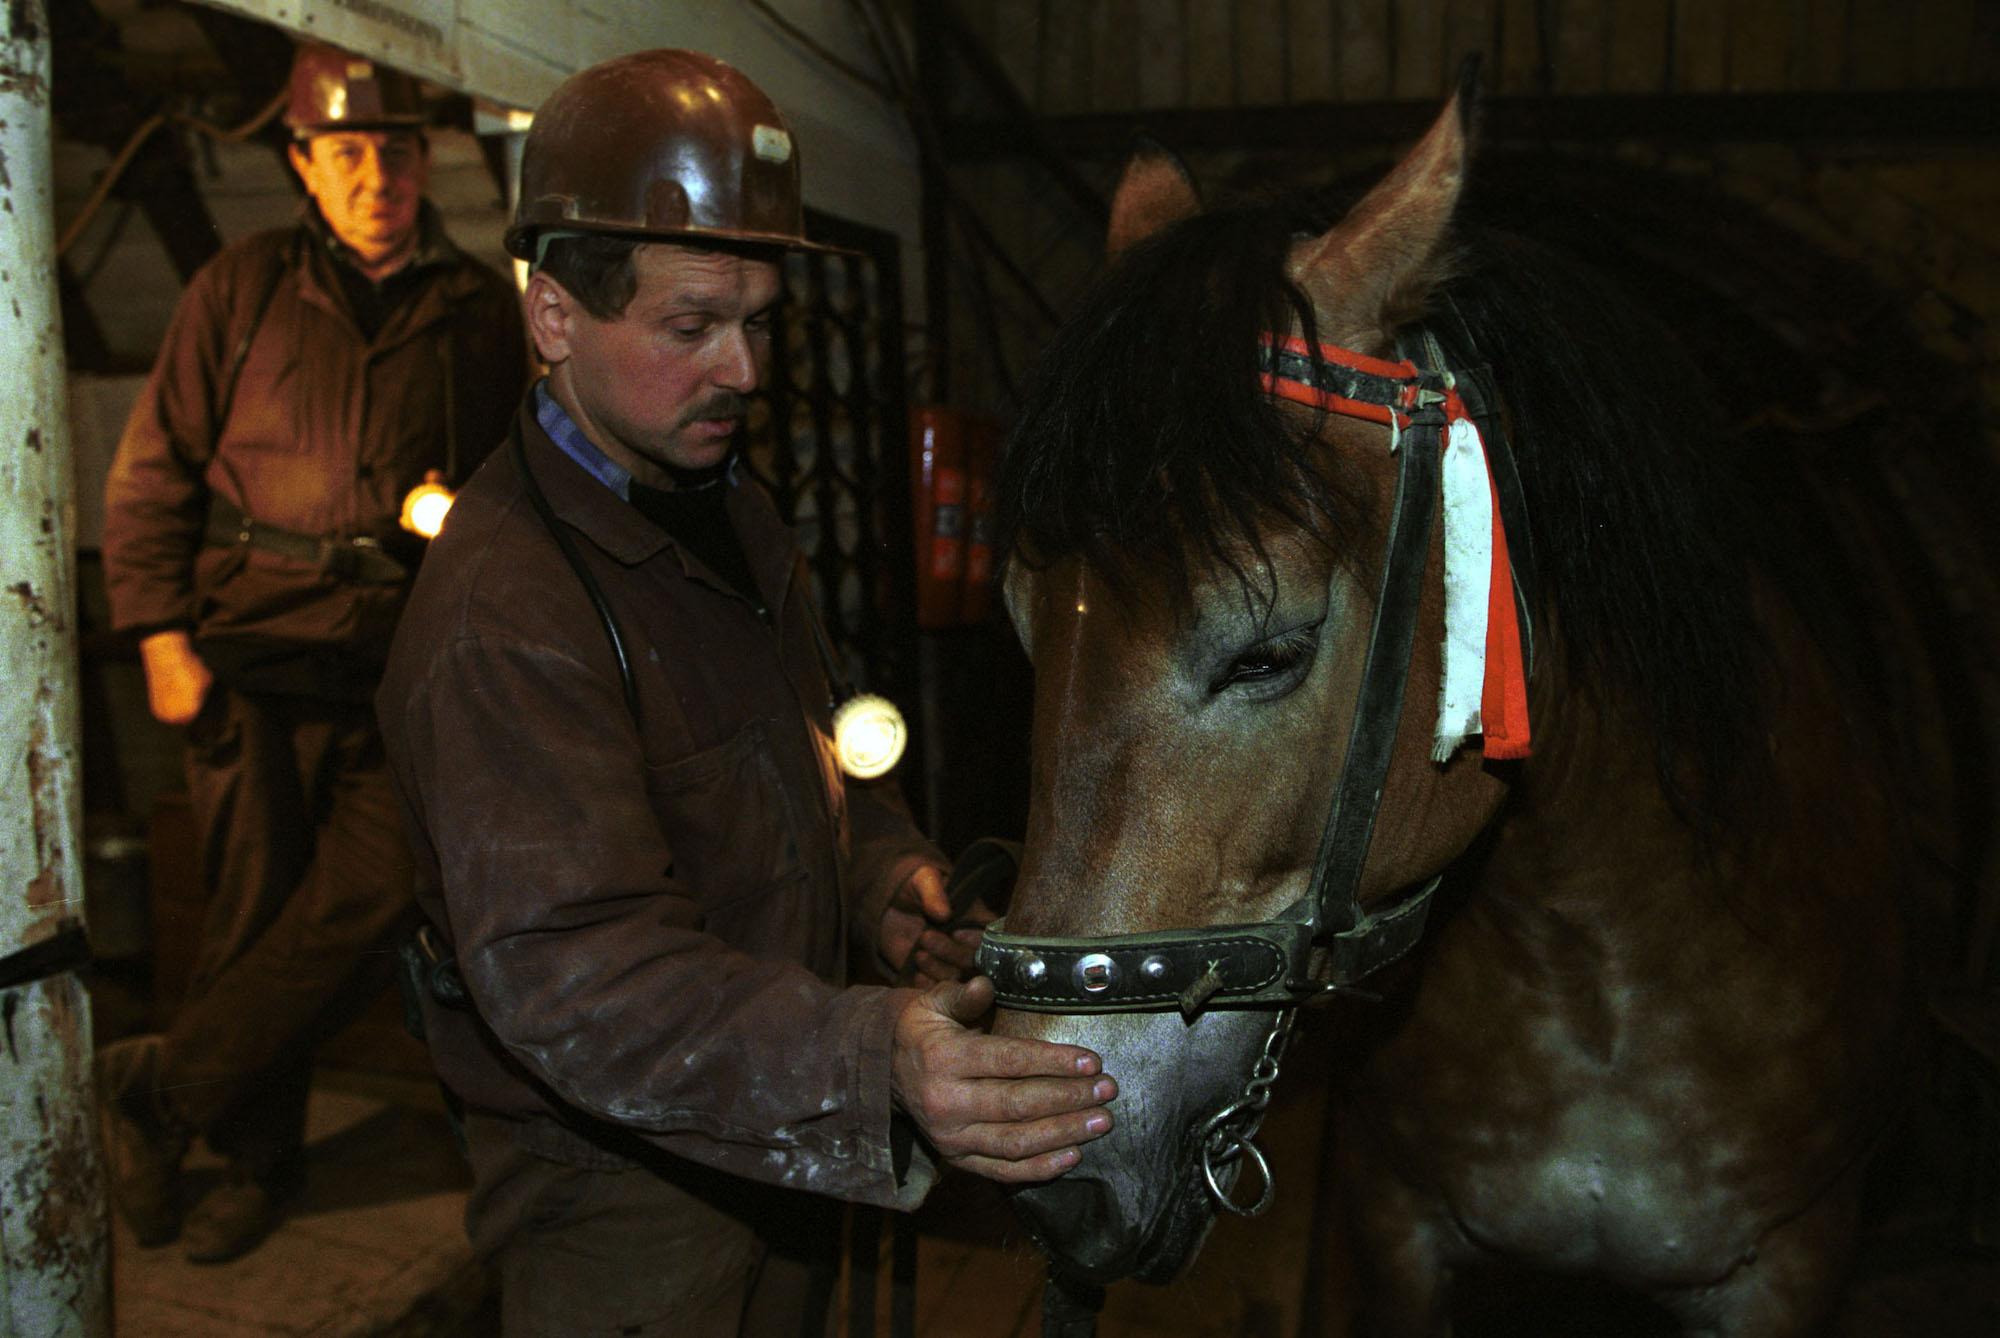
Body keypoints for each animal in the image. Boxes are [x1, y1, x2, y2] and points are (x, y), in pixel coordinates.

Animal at [976, 75, 1944, 1336]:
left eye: (1270, 652)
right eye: (1023, 624)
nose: (1052, 1185)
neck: (1596, 976)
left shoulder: (1784, 1272)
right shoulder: (1397, 1234)